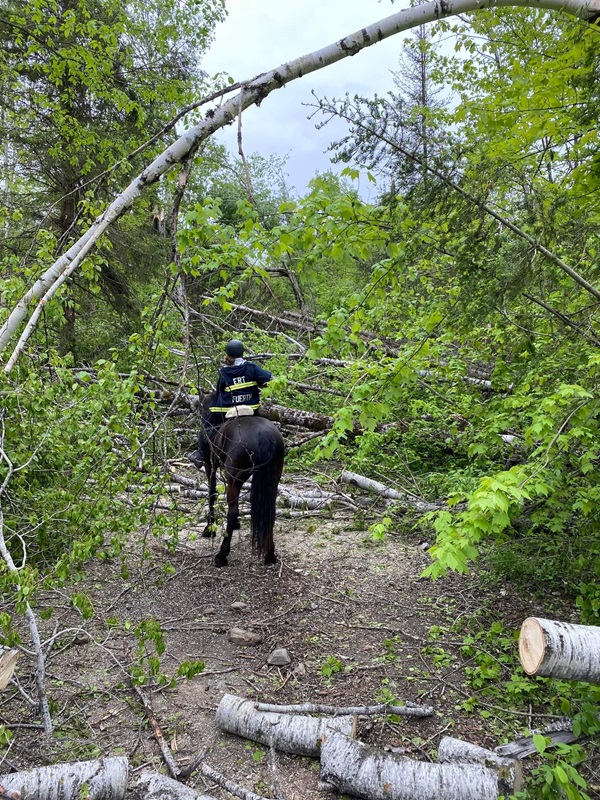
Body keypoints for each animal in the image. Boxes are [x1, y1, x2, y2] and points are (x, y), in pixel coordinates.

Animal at [197, 400, 285, 567]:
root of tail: (265, 435)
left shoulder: (210, 465)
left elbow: (212, 493)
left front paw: (209, 529)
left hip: (234, 478)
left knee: (232, 511)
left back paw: (222, 555)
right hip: (272, 479)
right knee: (269, 512)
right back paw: (270, 554)